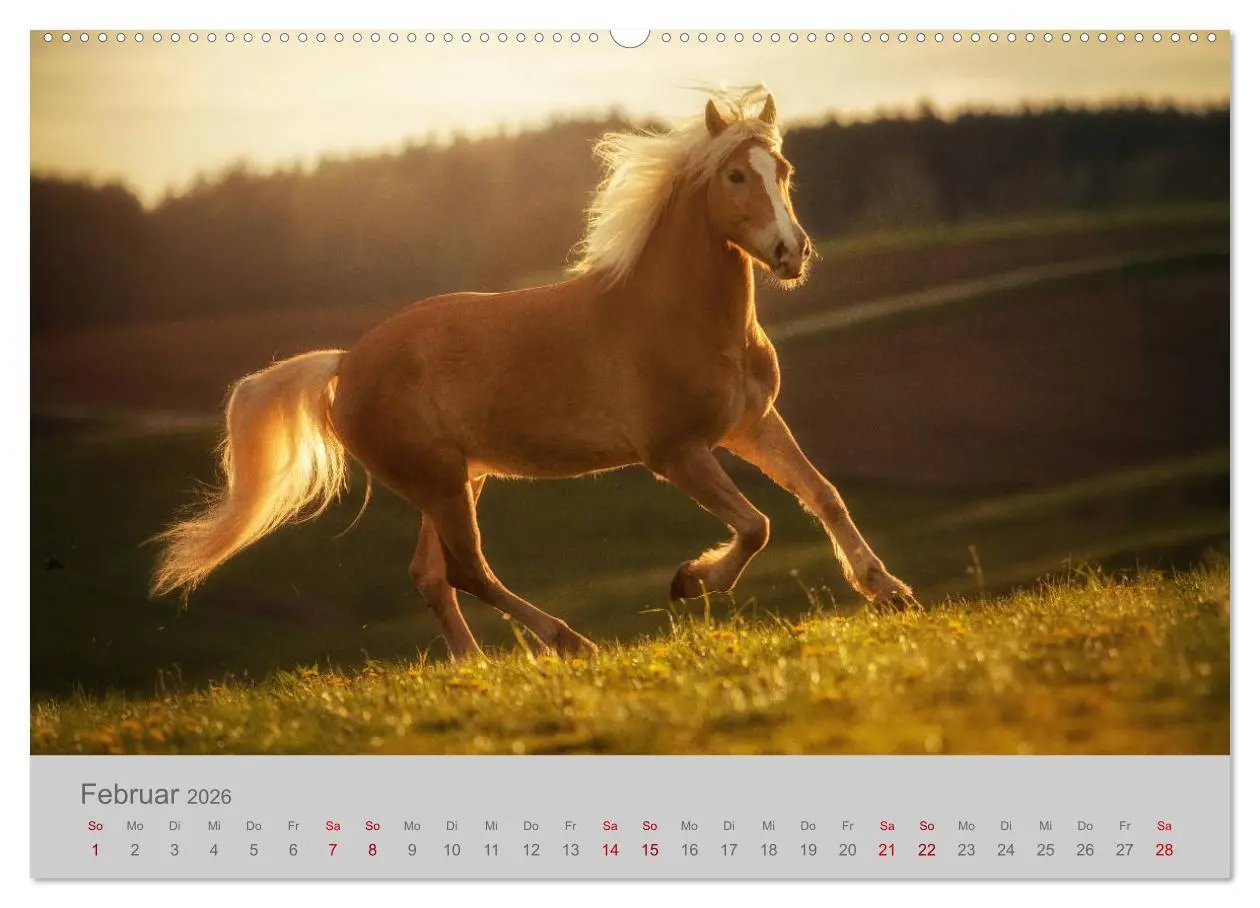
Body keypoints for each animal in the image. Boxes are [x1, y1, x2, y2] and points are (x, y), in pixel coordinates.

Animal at [151, 87, 916, 659]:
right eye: (735, 176)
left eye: (782, 173)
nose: (792, 252)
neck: (679, 317)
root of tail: (345, 363)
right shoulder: (676, 453)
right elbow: (756, 525)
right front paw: (689, 582)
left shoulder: (751, 426)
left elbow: (823, 495)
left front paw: (890, 591)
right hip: (440, 483)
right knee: (467, 570)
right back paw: (569, 642)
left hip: (455, 481)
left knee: (431, 574)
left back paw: (476, 666)